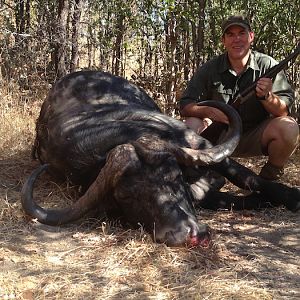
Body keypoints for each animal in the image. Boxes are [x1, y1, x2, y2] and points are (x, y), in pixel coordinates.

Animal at [21, 70, 300, 246]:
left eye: (174, 177)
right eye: (127, 197)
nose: (190, 235)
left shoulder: (201, 146)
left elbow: (250, 179)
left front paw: (291, 197)